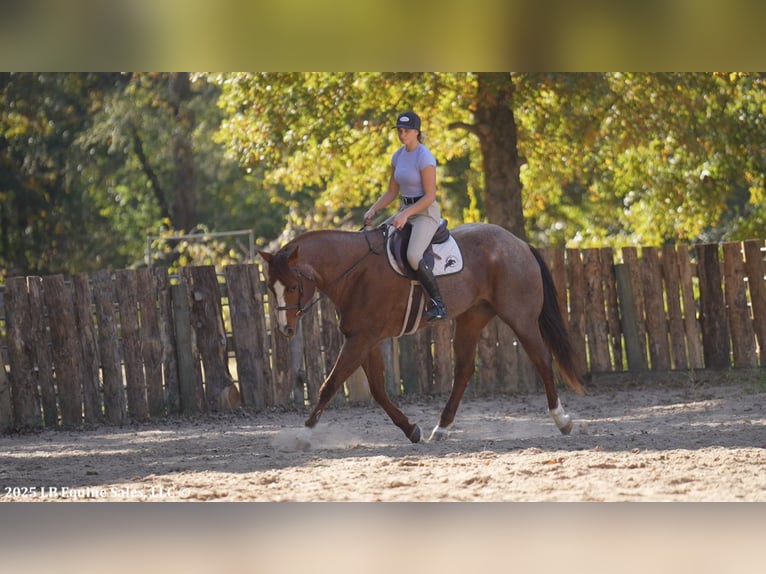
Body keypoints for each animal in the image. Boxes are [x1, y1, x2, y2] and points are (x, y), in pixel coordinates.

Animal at [257, 222, 586, 443]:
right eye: (270, 287)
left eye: (293, 287)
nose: (285, 329)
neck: (354, 270)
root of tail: (519, 243)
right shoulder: (365, 340)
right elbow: (378, 390)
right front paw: (411, 429)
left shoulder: (360, 340)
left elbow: (330, 384)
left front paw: (304, 433)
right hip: (471, 318)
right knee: (464, 369)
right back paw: (441, 428)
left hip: (521, 319)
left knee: (542, 359)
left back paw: (562, 420)